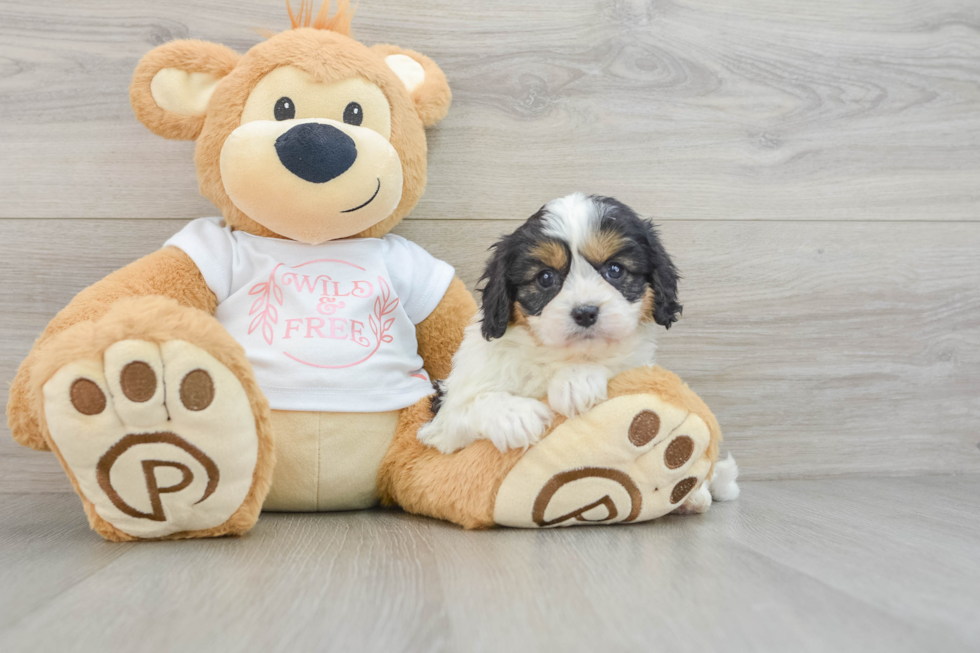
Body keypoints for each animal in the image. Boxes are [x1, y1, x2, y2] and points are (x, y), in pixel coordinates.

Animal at [416, 194, 680, 456]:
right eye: (545, 277)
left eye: (615, 269)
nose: (585, 313)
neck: (554, 356)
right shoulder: (441, 423)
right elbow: (466, 408)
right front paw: (514, 415)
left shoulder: (638, 366)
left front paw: (576, 380)